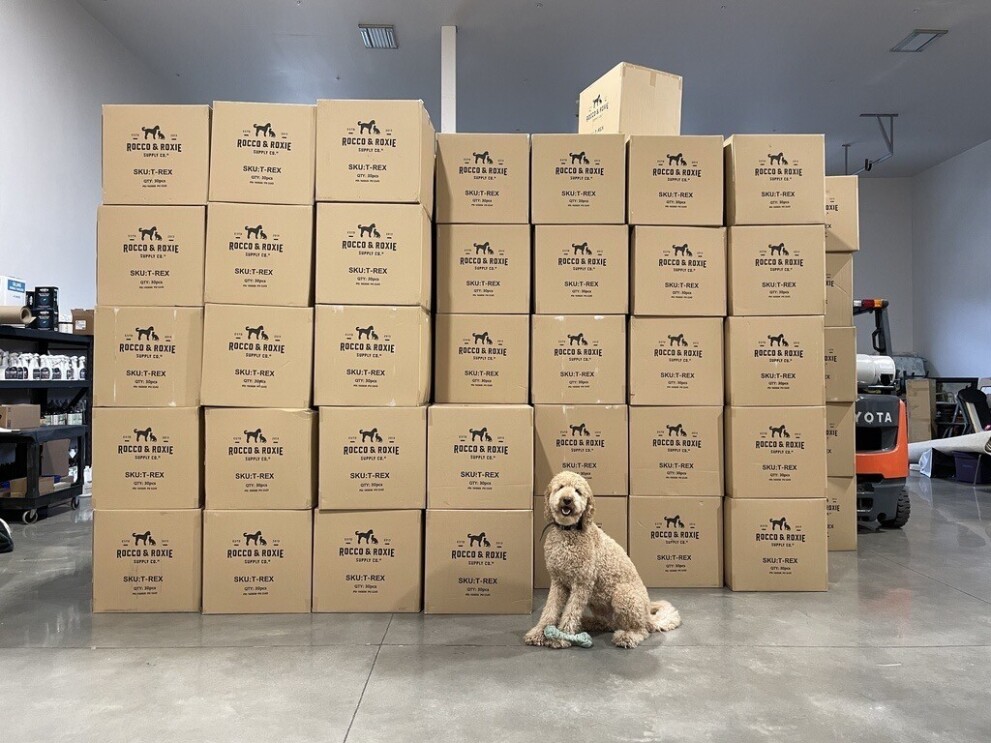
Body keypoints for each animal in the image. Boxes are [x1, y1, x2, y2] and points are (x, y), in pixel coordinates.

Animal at [528, 474, 680, 648]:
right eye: (560, 487)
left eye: (578, 491)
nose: (567, 499)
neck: (568, 532)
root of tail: (648, 616)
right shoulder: (558, 582)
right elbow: (549, 610)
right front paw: (539, 633)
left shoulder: (582, 584)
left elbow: (571, 612)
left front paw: (561, 637)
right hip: (599, 604)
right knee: (607, 623)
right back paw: (587, 623)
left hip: (624, 595)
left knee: (641, 630)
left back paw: (627, 636)